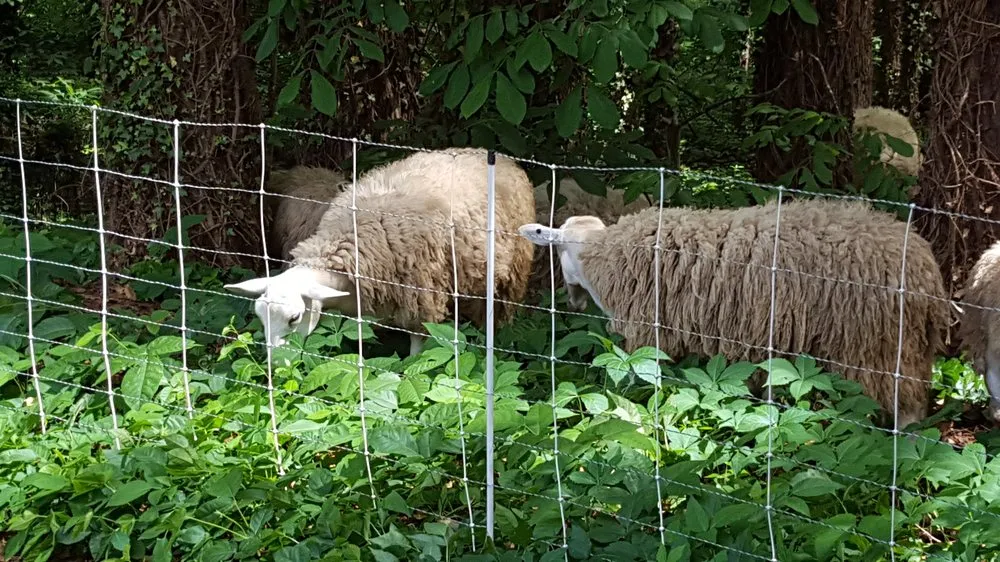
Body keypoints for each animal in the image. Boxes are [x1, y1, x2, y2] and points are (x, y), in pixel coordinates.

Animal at [225, 147, 536, 356]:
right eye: (259, 315)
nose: (275, 365)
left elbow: (418, 345)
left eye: (293, 318)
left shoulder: (421, 299)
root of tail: (493, 155)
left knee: (500, 311)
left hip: (512, 273)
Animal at [518, 198, 950, 428]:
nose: (570, 300)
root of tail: (926, 269)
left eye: (559, 250)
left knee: (903, 405)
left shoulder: (648, 332)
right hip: (905, 345)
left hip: (873, 344)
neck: (600, 255)